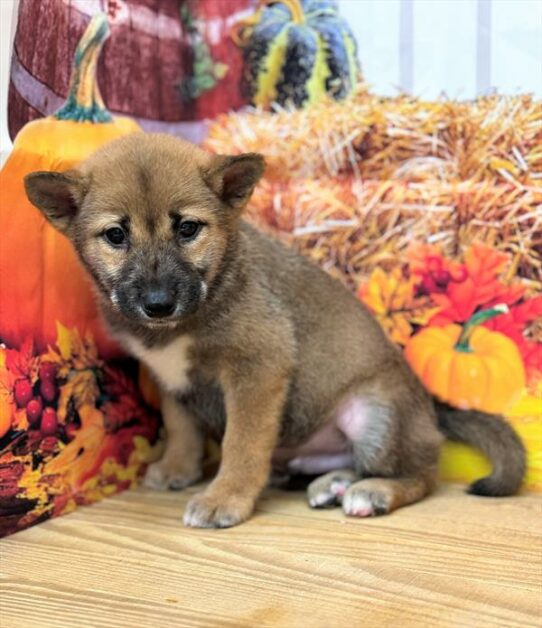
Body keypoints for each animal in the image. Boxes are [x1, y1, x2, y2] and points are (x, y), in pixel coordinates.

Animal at [24, 135, 528, 528]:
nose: (158, 303)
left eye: (188, 229)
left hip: (374, 413)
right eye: (115, 236)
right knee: (350, 462)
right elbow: (182, 427)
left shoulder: (258, 367)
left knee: (421, 473)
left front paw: (225, 498)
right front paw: (178, 468)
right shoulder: (170, 379)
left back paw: (374, 492)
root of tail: (429, 409)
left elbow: (241, 444)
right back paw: (333, 483)